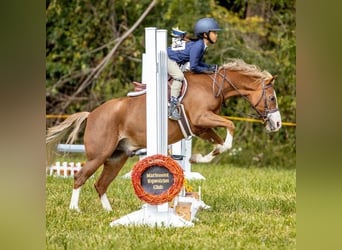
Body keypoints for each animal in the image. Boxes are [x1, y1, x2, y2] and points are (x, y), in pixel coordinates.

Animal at [46, 58, 280, 211]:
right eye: (272, 98)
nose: (277, 124)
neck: (213, 86)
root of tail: (92, 114)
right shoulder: (202, 118)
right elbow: (231, 126)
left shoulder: (201, 127)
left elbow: (221, 144)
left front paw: (197, 158)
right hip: (99, 155)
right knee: (80, 176)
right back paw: (75, 209)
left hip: (116, 157)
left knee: (100, 184)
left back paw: (109, 212)